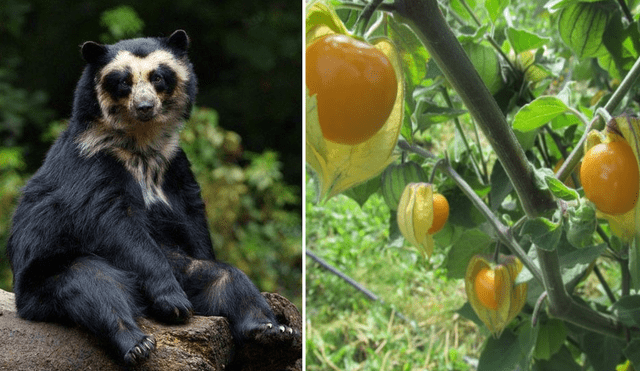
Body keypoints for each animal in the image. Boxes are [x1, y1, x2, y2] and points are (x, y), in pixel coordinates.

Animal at [7, 29, 298, 366]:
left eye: (158, 77)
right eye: (123, 82)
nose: (145, 106)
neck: (140, 144)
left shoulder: (174, 164)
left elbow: (192, 217)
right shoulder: (92, 164)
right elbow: (118, 226)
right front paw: (172, 303)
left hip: (181, 266)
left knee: (225, 279)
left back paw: (272, 330)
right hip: (42, 279)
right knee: (93, 284)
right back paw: (144, 338)